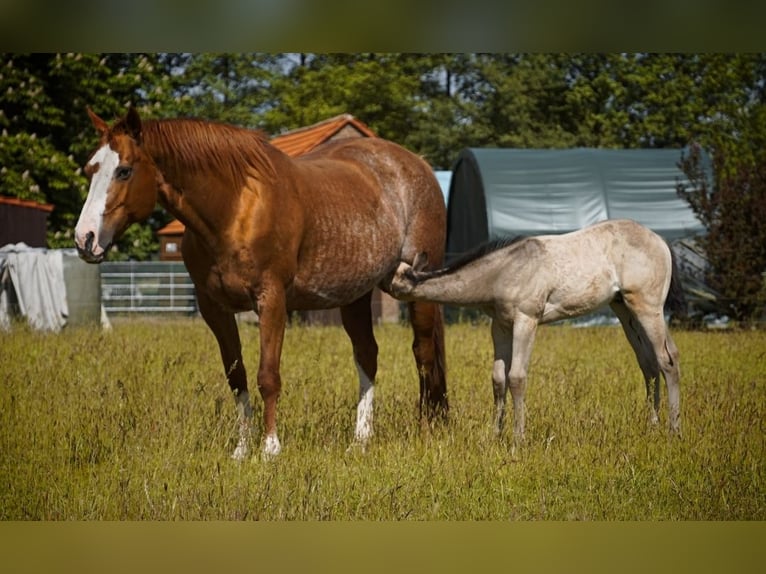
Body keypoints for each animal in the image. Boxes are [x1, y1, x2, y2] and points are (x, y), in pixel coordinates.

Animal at [74, 106, 448, 459]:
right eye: (90, 169)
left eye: (124, 170)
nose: (84, 239)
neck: (235, 209)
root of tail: (418, 165)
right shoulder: (215, 310)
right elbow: (236, 376)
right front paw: (242, 449)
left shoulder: (271, 300)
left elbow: (268, 376)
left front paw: (270, 449)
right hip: (355, 294)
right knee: (367, 355)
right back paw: (360, 440)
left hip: (417, 289)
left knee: (424, 353)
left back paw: (427, 431)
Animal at [390, 219, 682, 445]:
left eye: (392, 278)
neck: (503, 272)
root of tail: (660, 242)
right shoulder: (500, 326)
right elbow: (498, 379)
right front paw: (495, 435)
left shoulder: (526, 320)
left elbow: (517, 377)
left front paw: (518, 439)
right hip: (624, 309)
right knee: (650, 363)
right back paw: (653, 426)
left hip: (647, 307)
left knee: (666, 360)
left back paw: (673, 430)